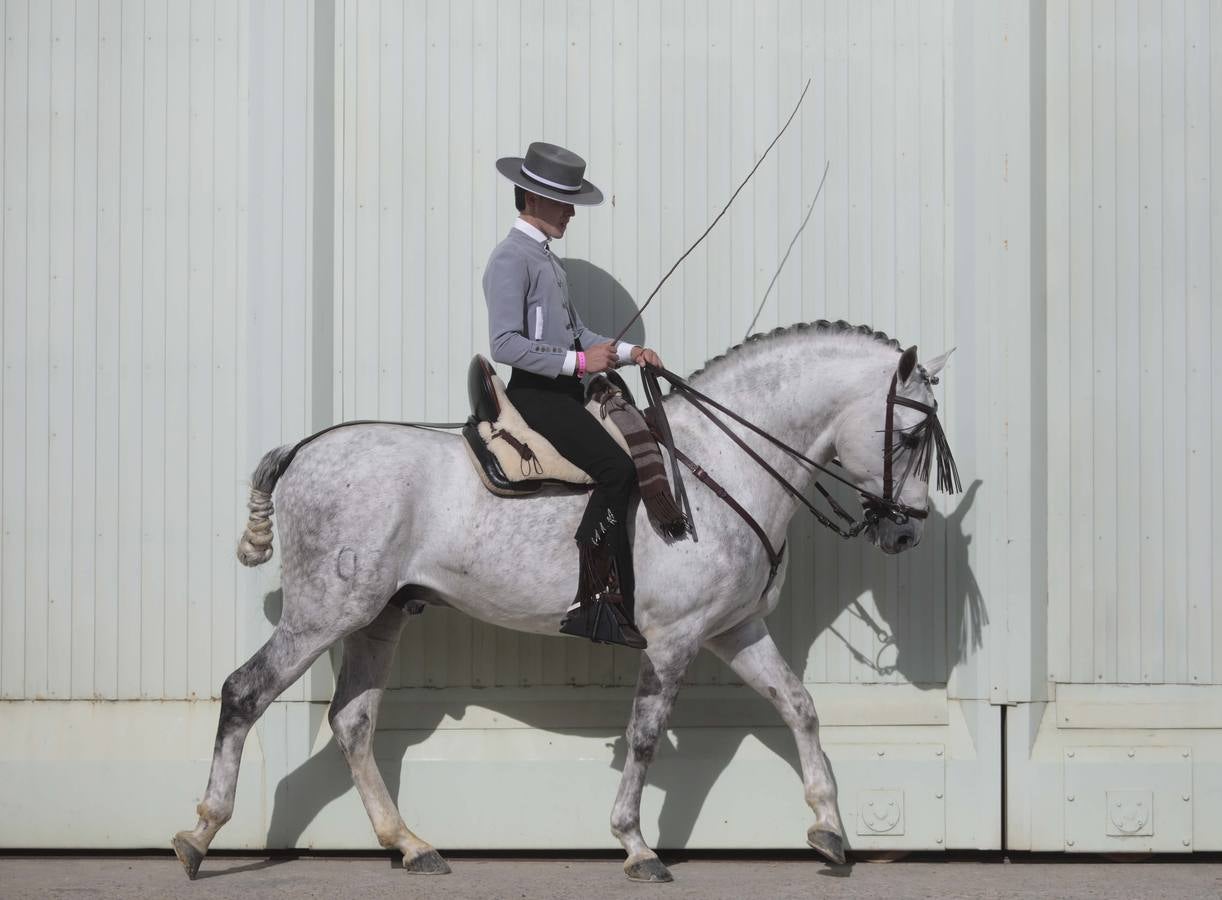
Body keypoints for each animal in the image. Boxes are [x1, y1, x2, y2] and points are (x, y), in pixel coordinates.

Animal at [169, 320, 953, 880]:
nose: (908, 530)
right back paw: (199, 834)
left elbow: (800, 706)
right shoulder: (675, 638)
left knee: (353, 722)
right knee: (244, 691)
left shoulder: (734, 630)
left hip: (377, 620)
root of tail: (302, 450)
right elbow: (644, 735)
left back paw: (410, 844)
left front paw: (829, 829)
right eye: (914, 433)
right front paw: (636, 845)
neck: (717, 466)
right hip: (323, 614)